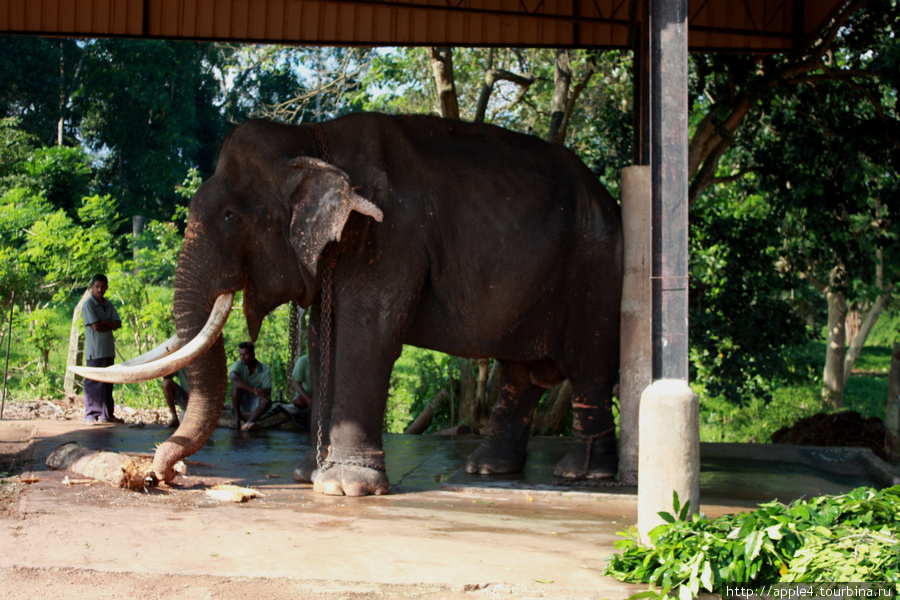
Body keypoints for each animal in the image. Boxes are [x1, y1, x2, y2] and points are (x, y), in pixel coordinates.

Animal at [75, 112, 620, 496]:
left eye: (230, 216)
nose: (159, 474)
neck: (311, 140)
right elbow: (322, 339)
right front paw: (306, 475)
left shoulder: (389, 235)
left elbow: (366, 333)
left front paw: (345, 486)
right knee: (520, 375)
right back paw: (488, 468)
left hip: (595, 274)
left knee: (589, 369)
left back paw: (582, 476)